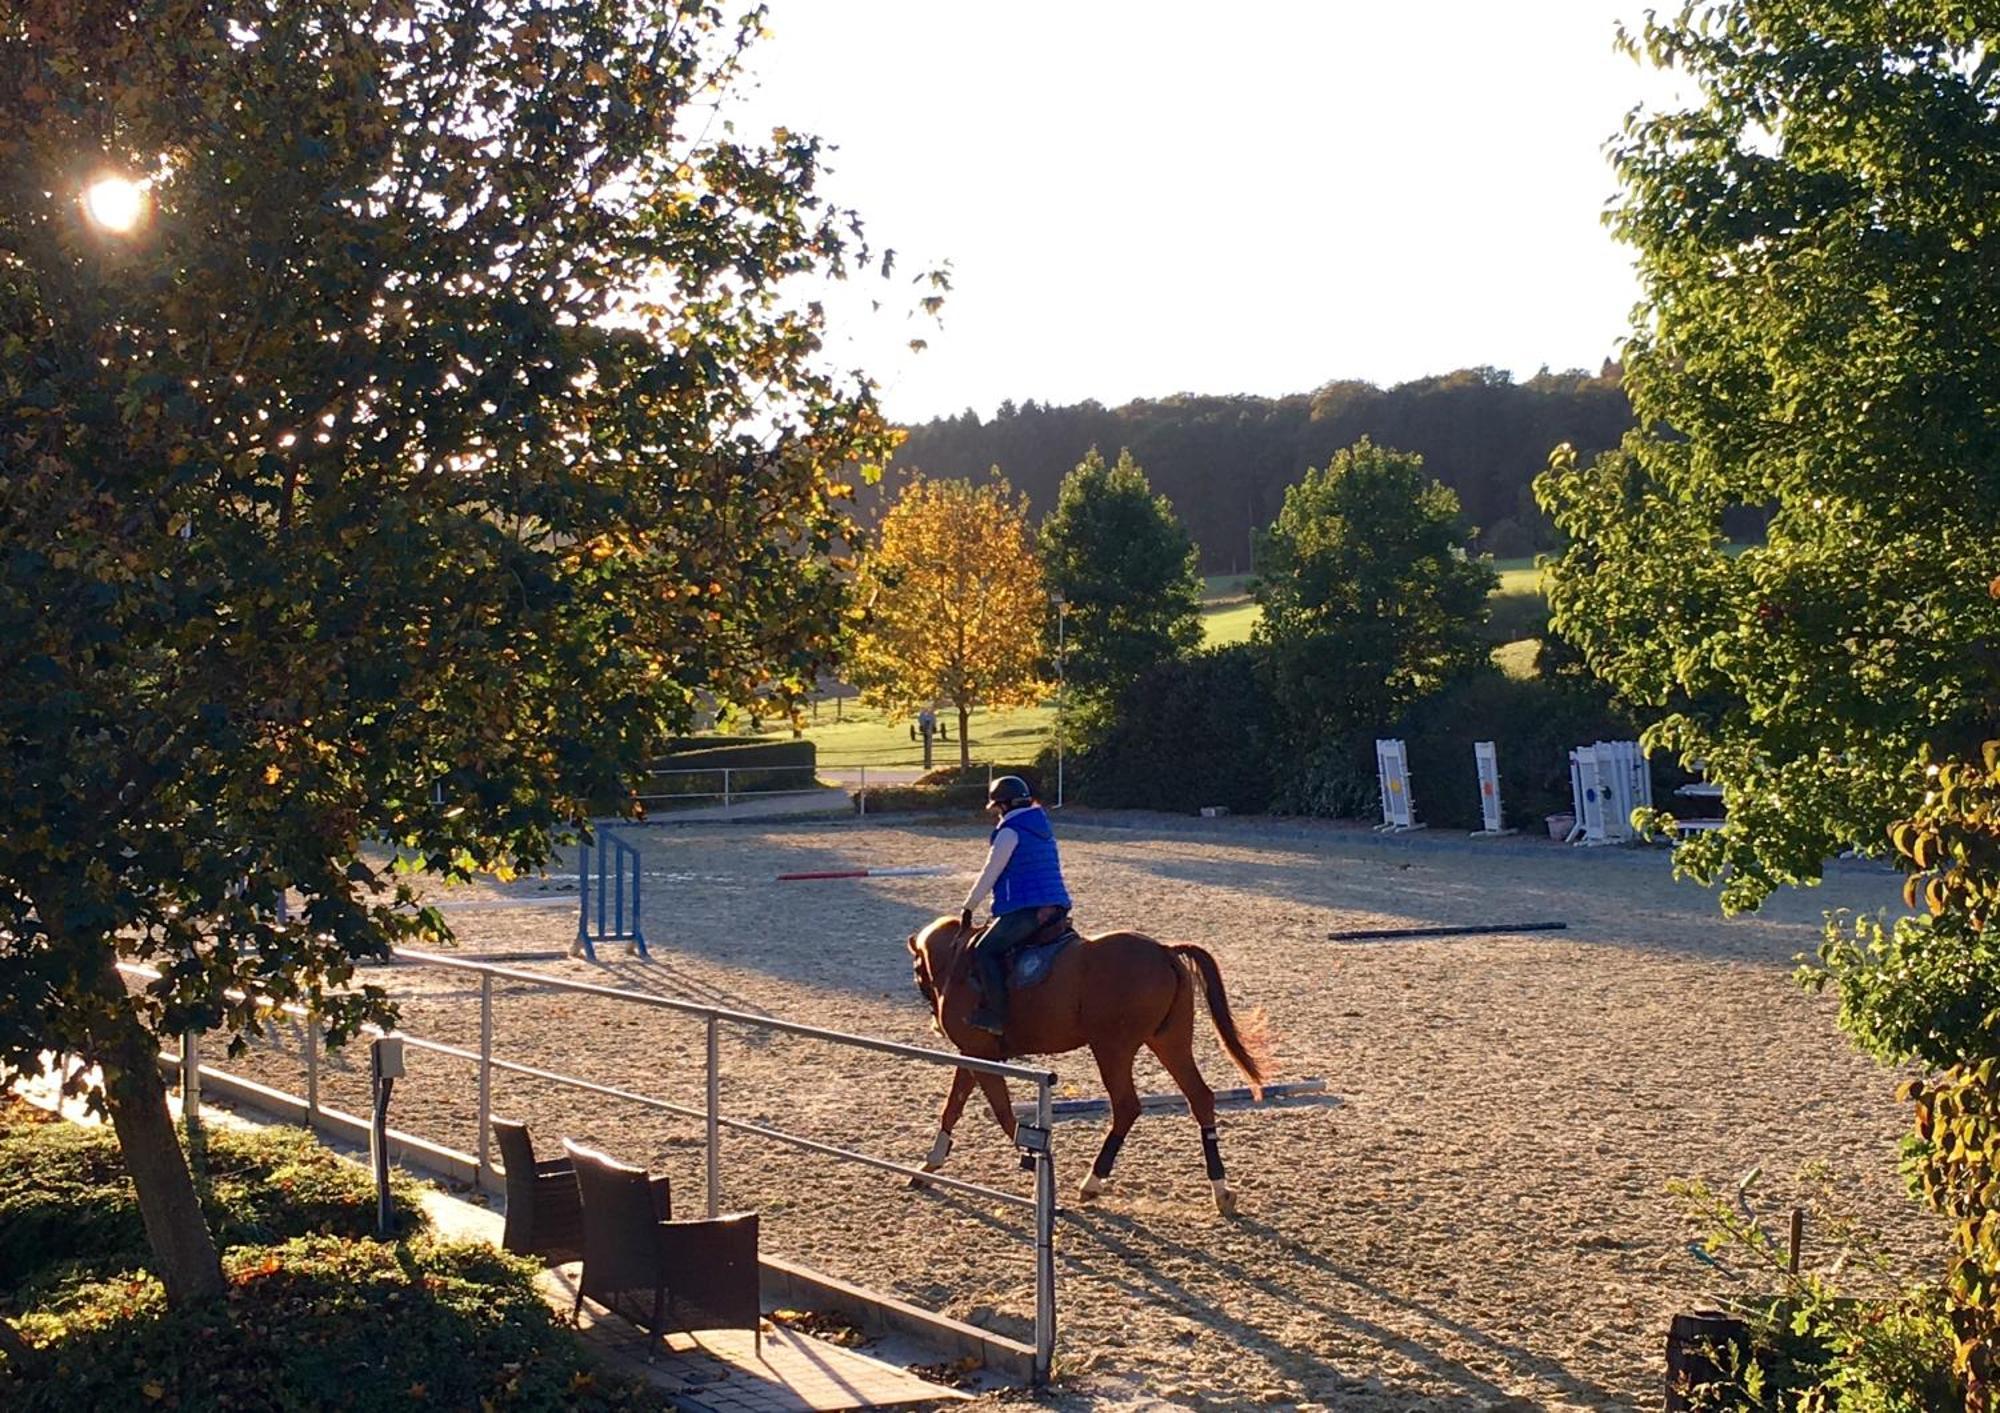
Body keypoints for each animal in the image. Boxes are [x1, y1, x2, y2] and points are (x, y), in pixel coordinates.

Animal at [908, 912, 1264, 1208]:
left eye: (916, 970)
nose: (934, 1024)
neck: (958, 961)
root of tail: (1165, 951)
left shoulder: (979, 1054)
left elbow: (1002, 1112)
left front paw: (1030, 1158)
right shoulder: (975, 1056)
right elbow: (954, 1107)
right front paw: (930, 1164)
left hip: (1112, 1049)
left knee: (1126, 1106)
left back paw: (1093, 1181)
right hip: (1169, 1042)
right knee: (1199, 1097)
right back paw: (1220, 1189)